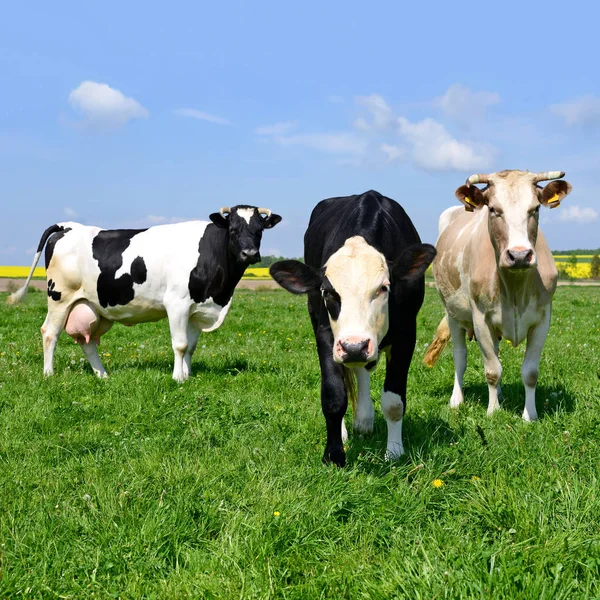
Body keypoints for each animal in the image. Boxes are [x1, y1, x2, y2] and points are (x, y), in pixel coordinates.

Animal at [9, 202, 282, 380]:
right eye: (233, 230)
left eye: (259, 231)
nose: (250, 253)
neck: (220, 293)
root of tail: (70, 226)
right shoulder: (177, 303)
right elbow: (180, 344)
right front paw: (178, 378)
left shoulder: (197, 309)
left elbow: (191, 347)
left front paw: (188, 375)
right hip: (60, 297)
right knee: (49, 333)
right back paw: (49, 374)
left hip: (95, 307)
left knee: (88, 342)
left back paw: (102, 375)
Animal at [270, 190, 434, 466]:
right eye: (327, 292)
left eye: (383, 288)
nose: (354, 346)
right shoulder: (326, 335)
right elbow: (334, 395)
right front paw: (334, 454)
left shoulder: (406, 334)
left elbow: (394, 401)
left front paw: (394, 452)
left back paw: (364, 419)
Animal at [422, 169, 572, 420]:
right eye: (493, 209)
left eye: (535, 208)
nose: (519, 255)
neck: (515, 289)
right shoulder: (481, 319)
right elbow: (492, 370)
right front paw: (493, 412)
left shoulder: (543, 319)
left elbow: (530, 372)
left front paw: (529, 415)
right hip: (453, 314)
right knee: (460, 357)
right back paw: (457, 400)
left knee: (496, 352)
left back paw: (499, 394)